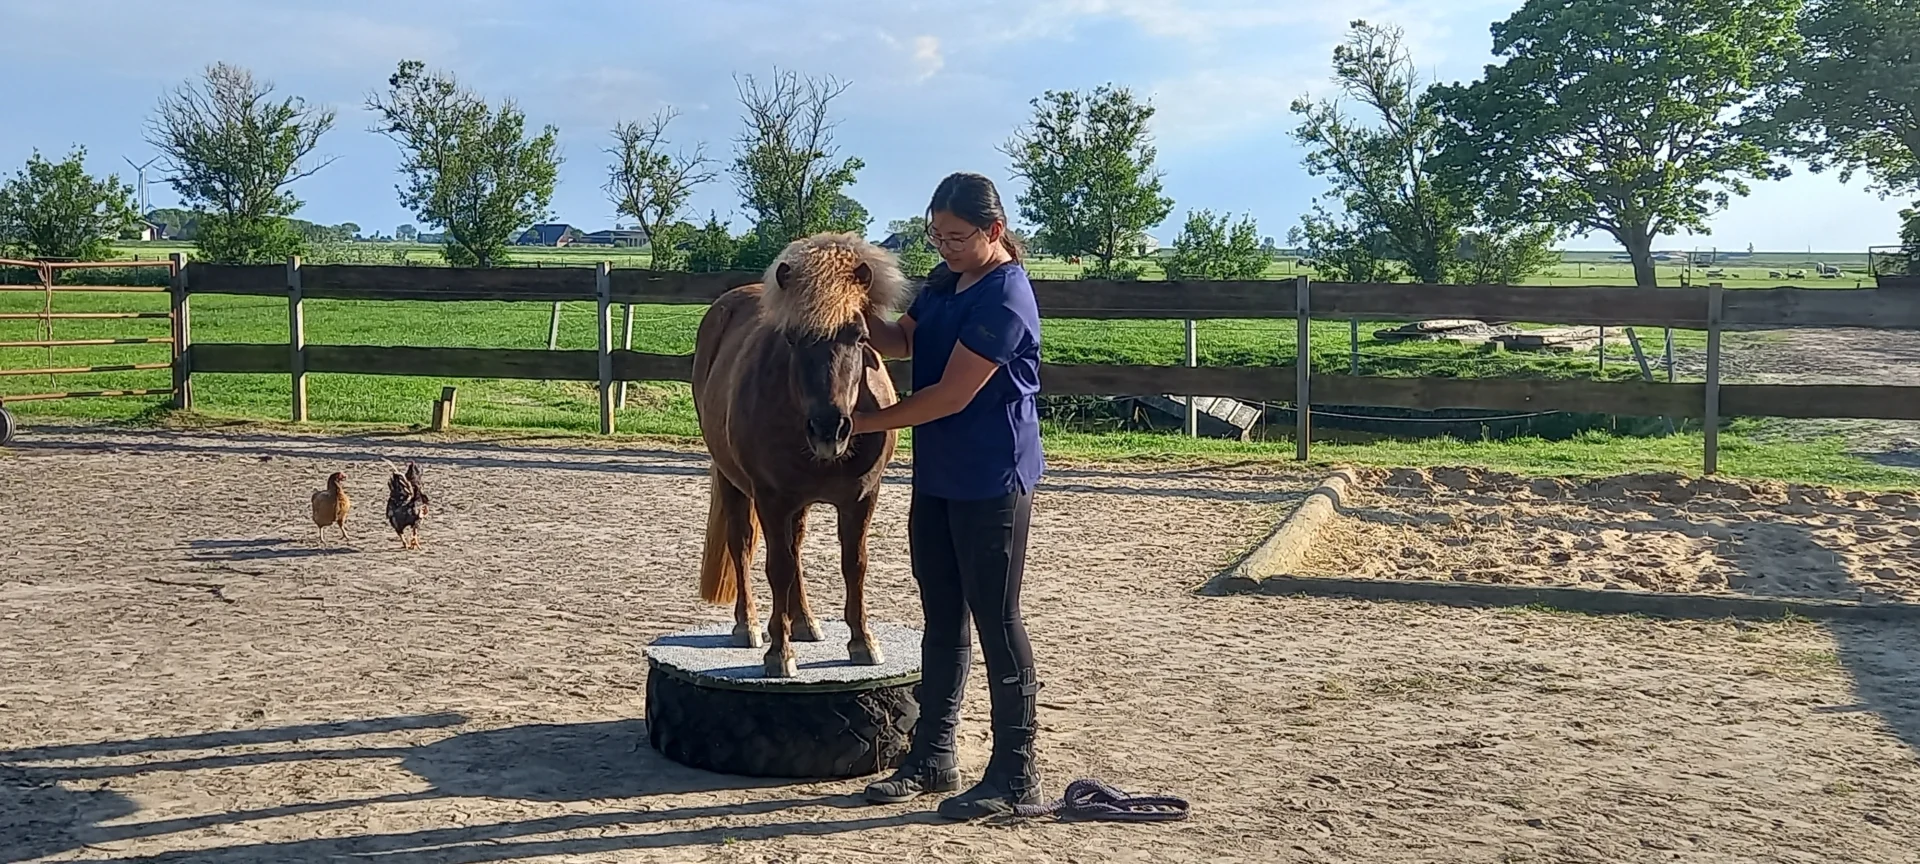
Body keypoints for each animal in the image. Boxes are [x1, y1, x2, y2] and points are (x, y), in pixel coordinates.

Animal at [691, 231, 909, 678]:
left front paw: (863, 642)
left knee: (796, 546)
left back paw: (805, 621)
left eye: (859, 335)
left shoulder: (862, 499)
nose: (829, 429)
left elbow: (853, 564)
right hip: (734, 482)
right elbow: (778, 568)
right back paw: (750, 626)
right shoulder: (772, 499)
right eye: (792, 338)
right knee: (743, 547)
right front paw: (779, 652)